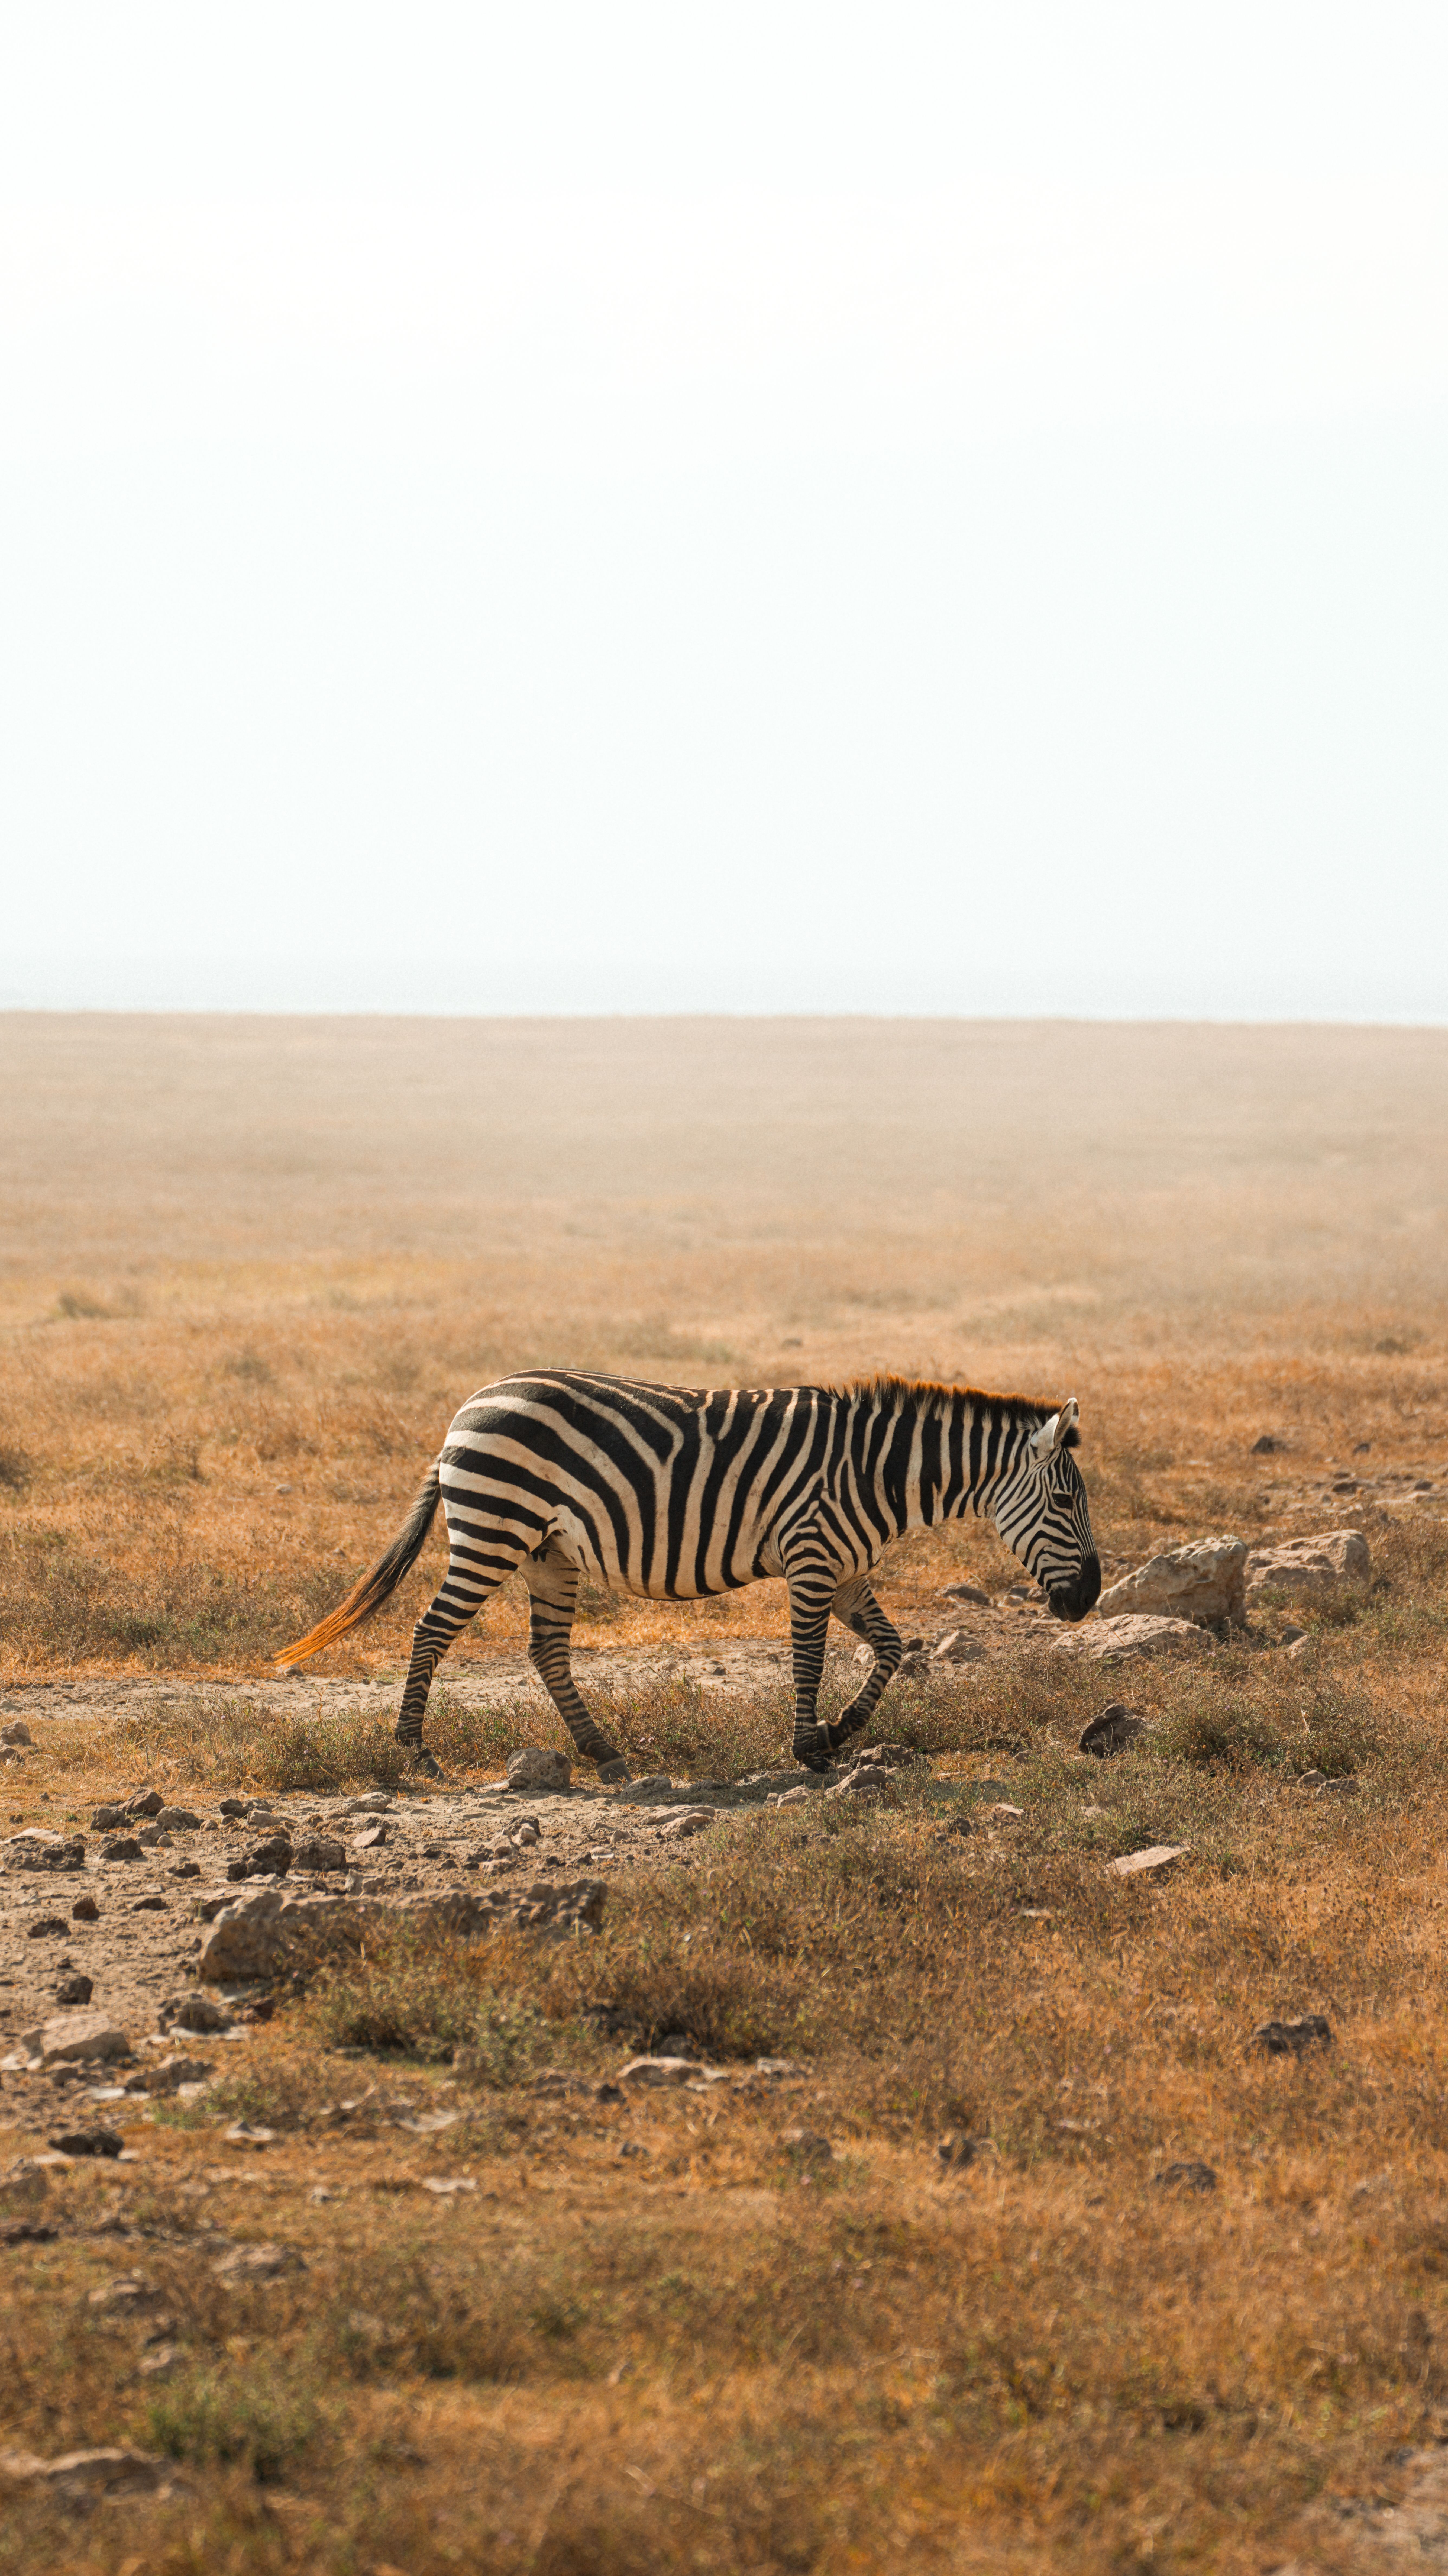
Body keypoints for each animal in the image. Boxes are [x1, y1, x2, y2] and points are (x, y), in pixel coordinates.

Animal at [276, 1369, 1101, 1780]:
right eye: (1066, 1501)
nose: (1089, 1598)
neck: (876, 1473)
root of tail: (465, 1408)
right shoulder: (811, 1558)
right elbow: (808, 1661)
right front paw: (808, 1748)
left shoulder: (846, 1571)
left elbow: (895, 1649)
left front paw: (841, 1729)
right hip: (495, 1526)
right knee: (431, 1628)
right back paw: (415, 1749)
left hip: (548, 1549)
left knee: (547, 1651)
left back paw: (603, 1752)